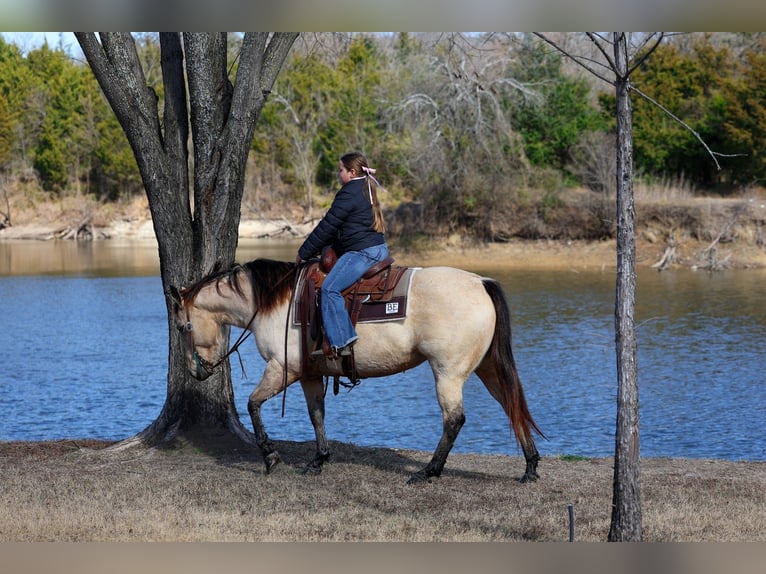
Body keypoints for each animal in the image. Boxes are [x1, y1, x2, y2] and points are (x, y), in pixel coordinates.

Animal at [169, 258, 543, 484]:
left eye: (183, 327)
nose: (195, 372)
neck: (275, 302)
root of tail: (480, 282)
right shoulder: (309, 374)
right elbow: (316, 416)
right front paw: (318, 460)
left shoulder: (281, 369)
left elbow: (253, 405)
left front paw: (270, 456)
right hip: (487, 368)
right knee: (511, 404)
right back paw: (530, 466)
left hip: (448, 373)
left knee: (454, 420)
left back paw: (428, 471)